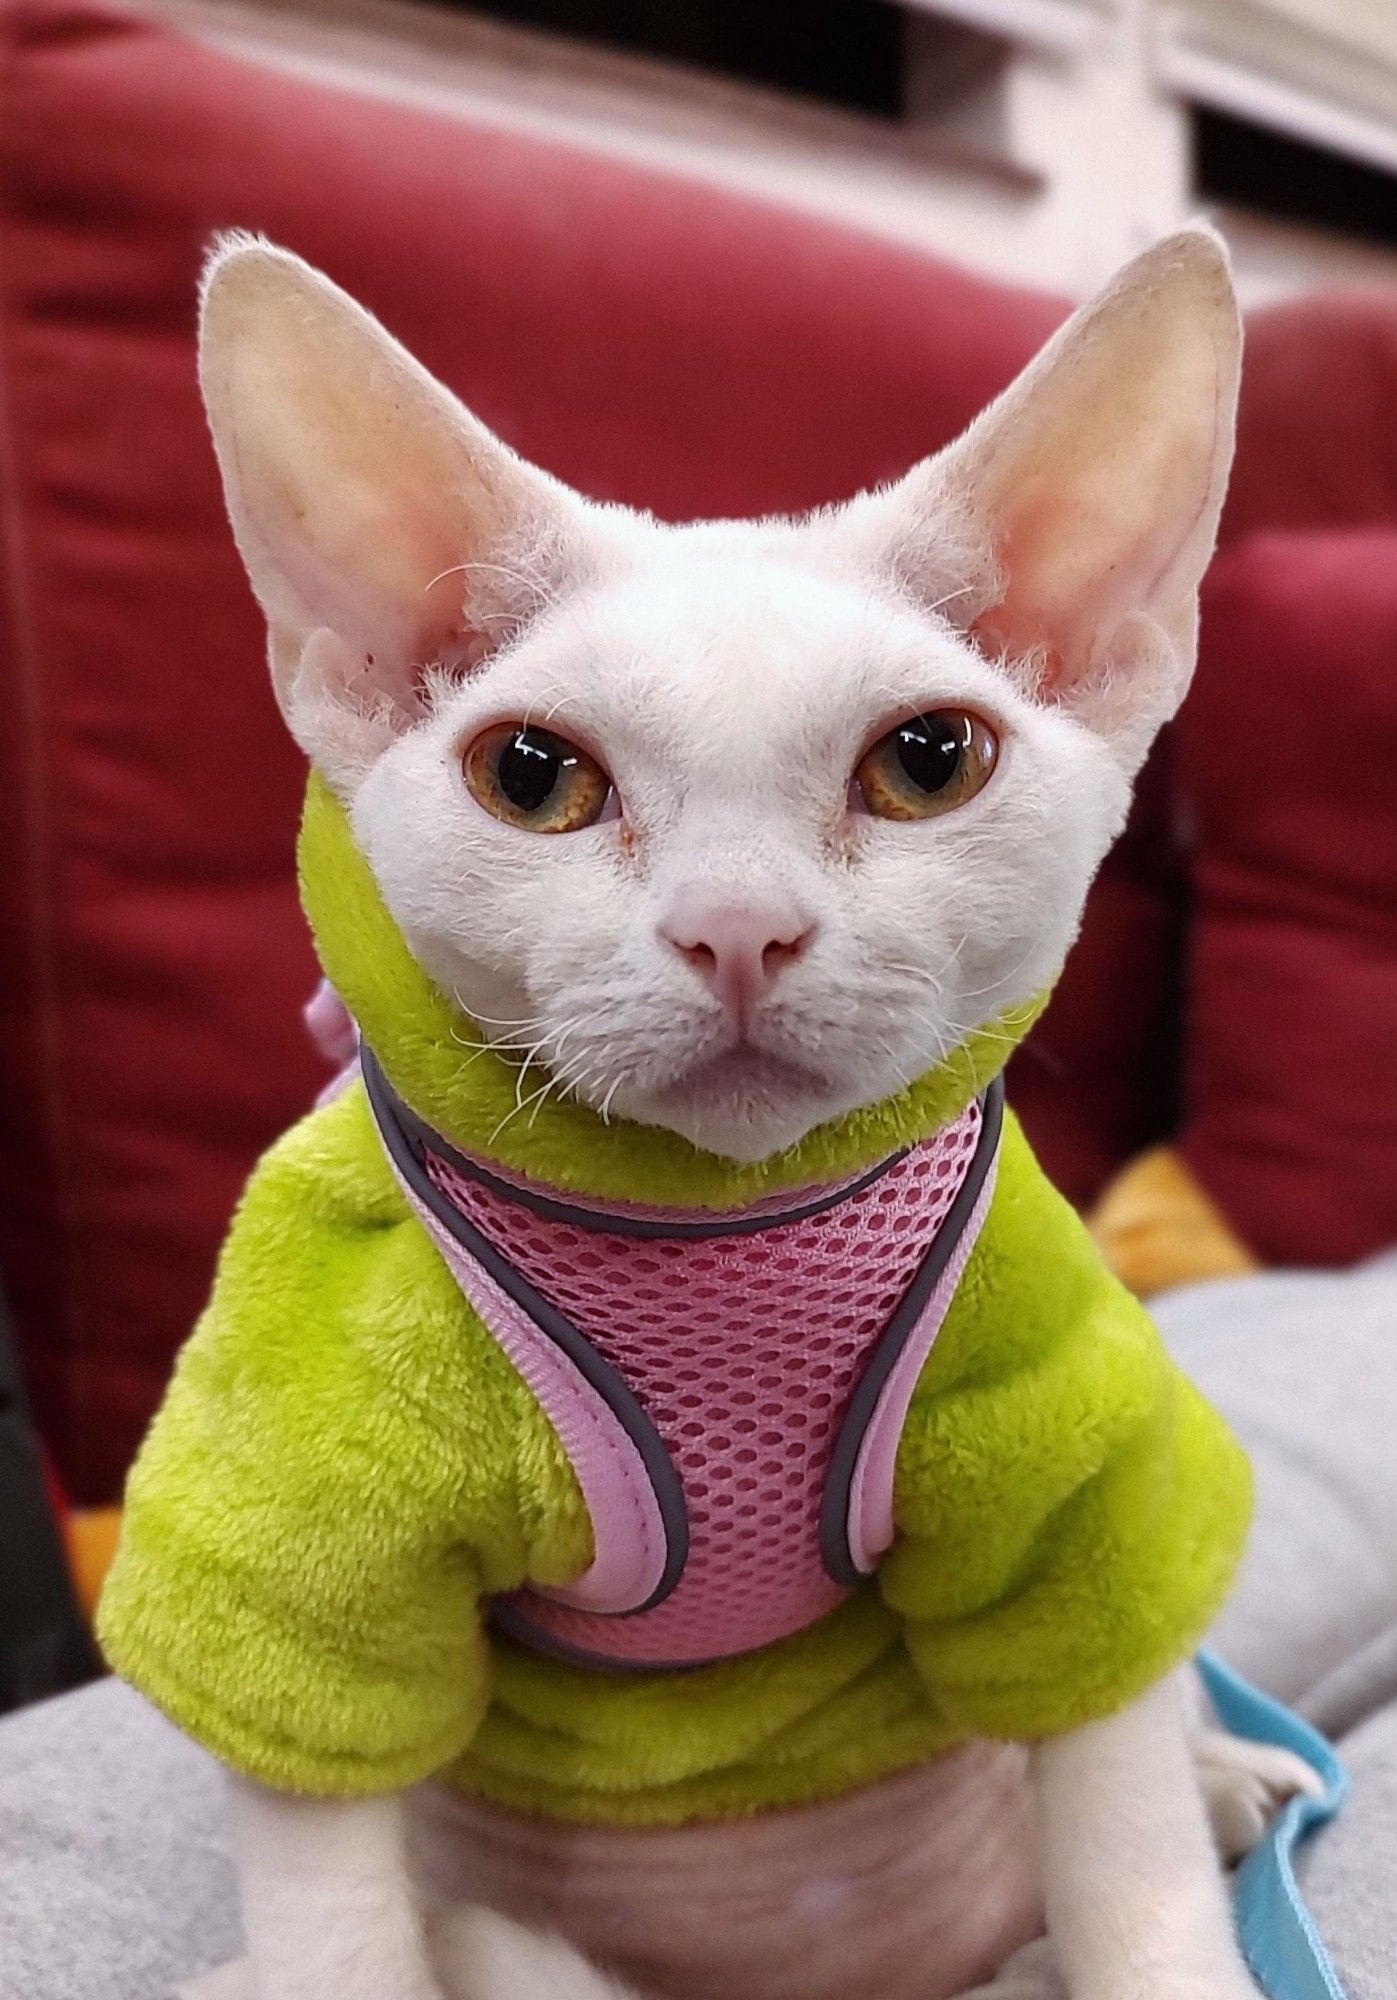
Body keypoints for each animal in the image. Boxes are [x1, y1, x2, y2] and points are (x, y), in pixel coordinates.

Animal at [182, 227, 1304, 2000]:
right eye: (530, 776)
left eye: (929, 760)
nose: (735, 928)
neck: (713, 1232)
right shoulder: (303, 1522)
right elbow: (327, 1879)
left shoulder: (1069, 1461)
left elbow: (1119, 1796)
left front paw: (1168, 1902)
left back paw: (1222, 1777)